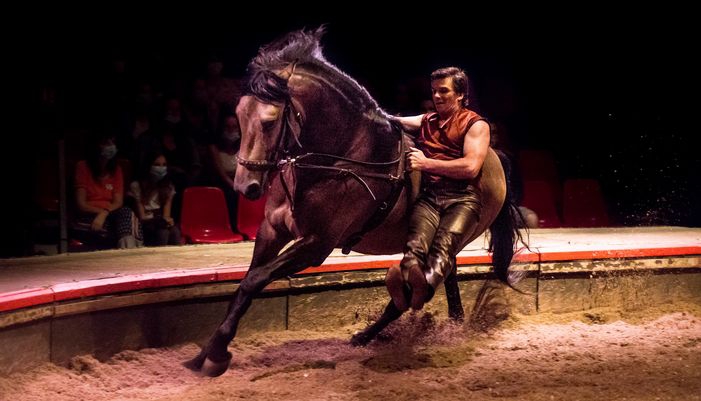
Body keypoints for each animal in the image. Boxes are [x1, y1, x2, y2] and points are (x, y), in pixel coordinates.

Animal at [183, 27, 524, 376]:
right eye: (239, 116)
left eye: (268, 121)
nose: (246, 186)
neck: (339, 157)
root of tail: (494, 157)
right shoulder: (271, 231)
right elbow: (245, 284)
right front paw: (208, 352)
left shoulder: (316, 245)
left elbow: (254, 280)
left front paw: (216, 354)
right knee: (441, 275)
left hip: (460, 230)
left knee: (426, 278)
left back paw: (382, 327)